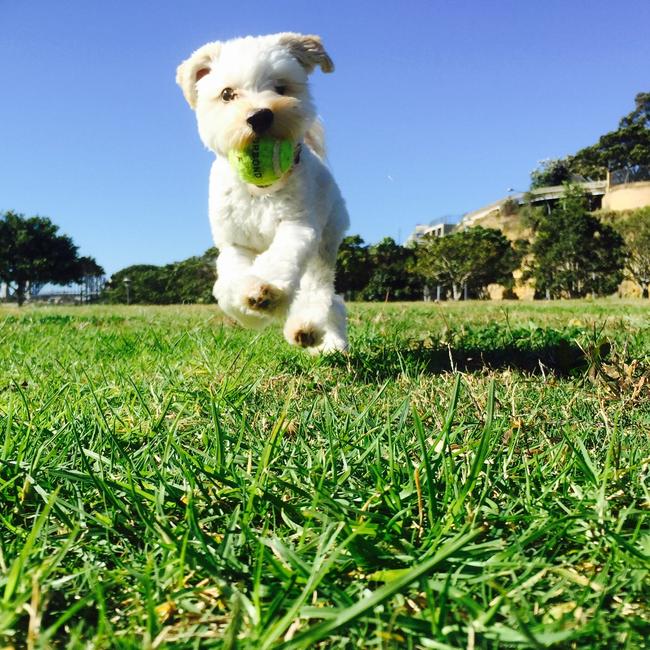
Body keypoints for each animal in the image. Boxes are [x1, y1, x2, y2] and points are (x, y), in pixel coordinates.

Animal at [176, 33, 350, 352]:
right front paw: (249, 302)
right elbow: (229, 282)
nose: (259, 116)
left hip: (326, 240)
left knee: (322, 293)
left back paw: (315, 332)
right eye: (227, 94)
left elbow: (280, 258)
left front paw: (268, 290)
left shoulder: (297, 226)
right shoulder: (234, 244)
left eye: (281, 87)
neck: (258, 192)